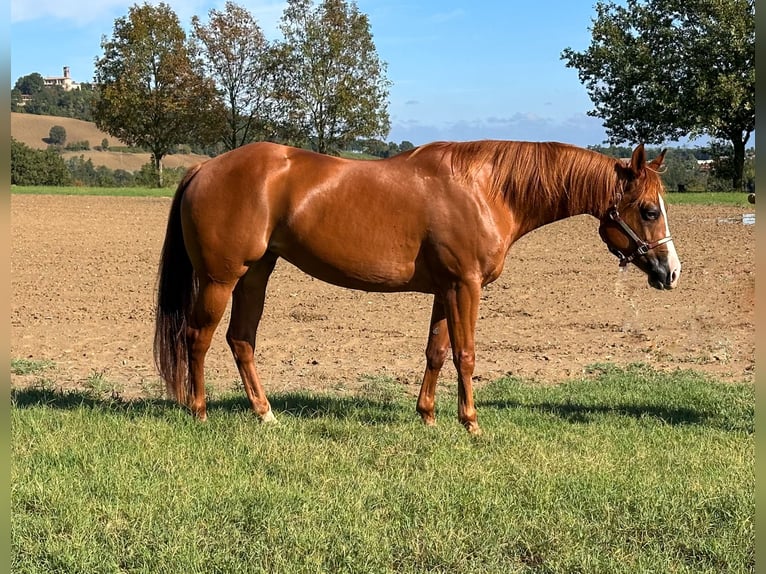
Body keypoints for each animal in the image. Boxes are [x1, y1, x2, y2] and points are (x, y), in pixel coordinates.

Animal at [154, 140, 681, 434]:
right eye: (648, 210)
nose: (670, 272)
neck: (485, 189)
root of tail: (204, 168)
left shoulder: (446, 289)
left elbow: (437, 352)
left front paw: (427, 416)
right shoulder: (466, 287)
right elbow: (466, 354)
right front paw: (471, 423)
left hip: (257, 274)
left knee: (241, 340)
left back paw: (265, 414)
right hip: (221, 279)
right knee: (198, 339)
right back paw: (199, 412)